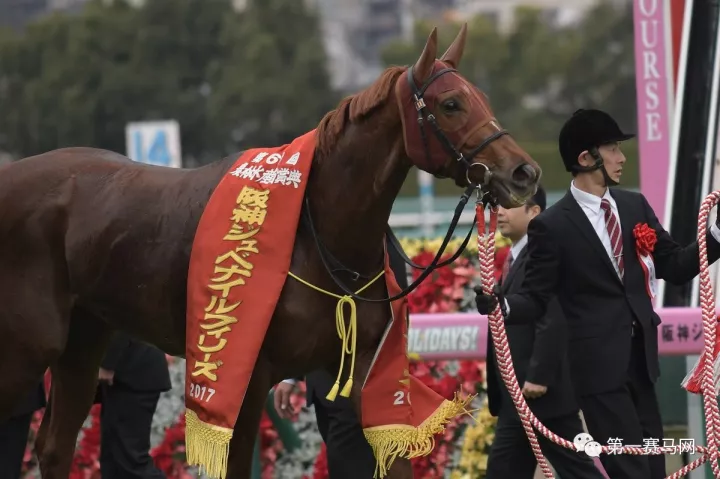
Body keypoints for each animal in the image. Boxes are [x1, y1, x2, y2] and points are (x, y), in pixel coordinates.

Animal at [0, 27, 536, 479]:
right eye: (451, 104)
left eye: (482, 98)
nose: (523, 173)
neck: (315, 233)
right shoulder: (245, 375)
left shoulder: (367, 367)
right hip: (27, 347)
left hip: (82, 339)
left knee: (54, 445)